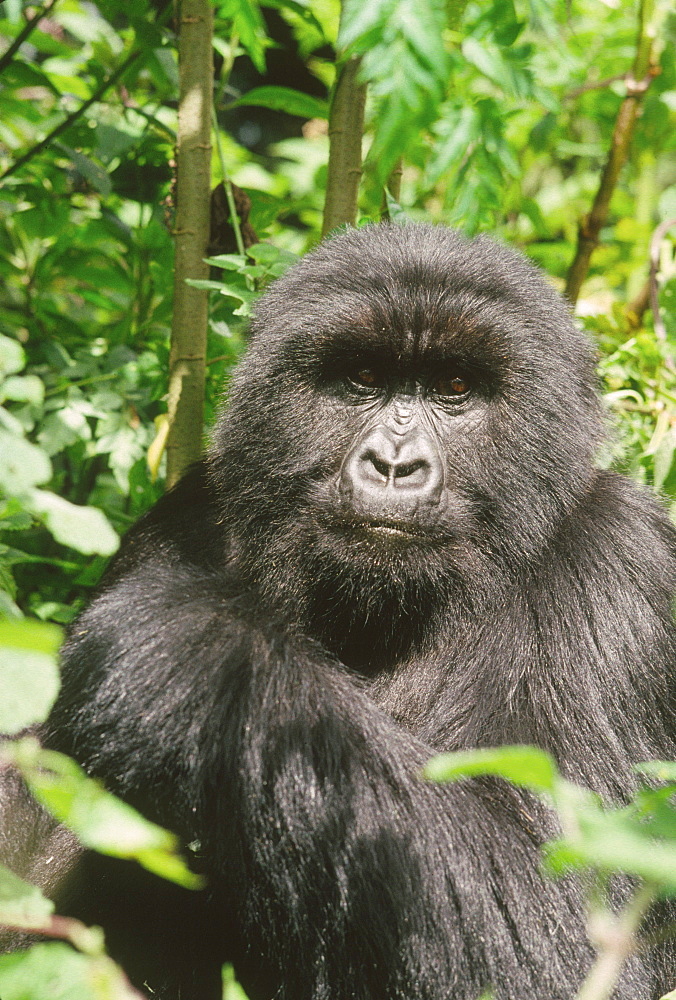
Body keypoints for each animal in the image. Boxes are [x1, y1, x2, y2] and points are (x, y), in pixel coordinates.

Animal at [1, 223, 676, 996]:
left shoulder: (620, 573)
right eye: (363, 378)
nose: (393, 465)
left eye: (454, 387)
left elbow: (565, 932)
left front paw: (195, 649)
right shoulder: (187, 515)